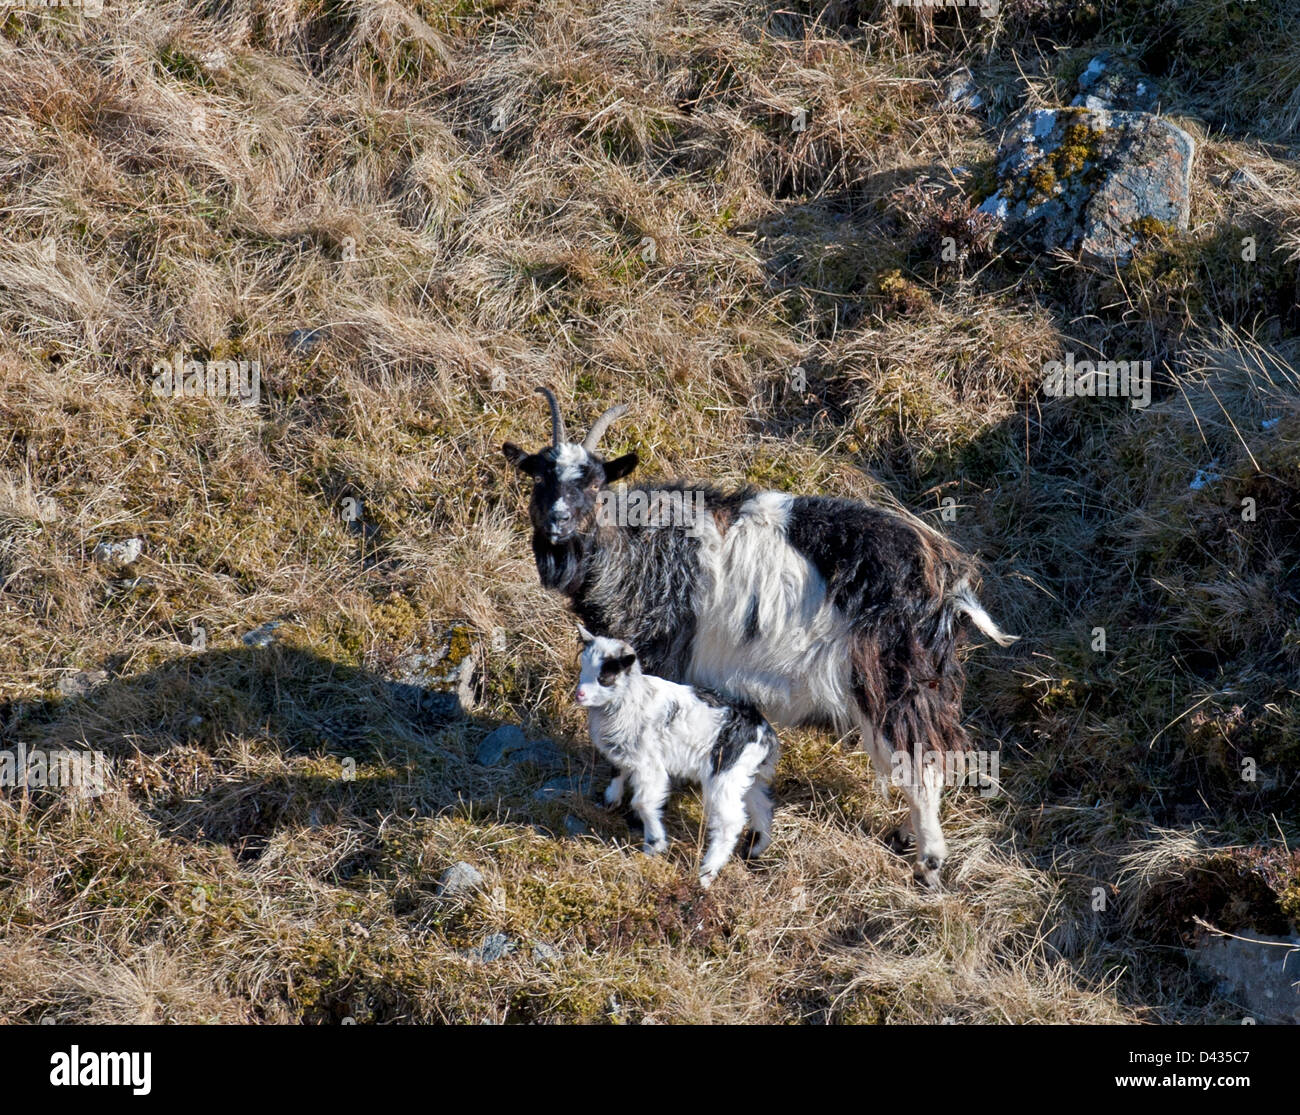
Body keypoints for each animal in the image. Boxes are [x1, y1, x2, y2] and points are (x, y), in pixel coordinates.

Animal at [574, 621, 774, 883]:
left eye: (604, 677)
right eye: (582, 666)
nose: (579, 694)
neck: (631, 699)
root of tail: (764, 734)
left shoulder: (650, 765)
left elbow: (644, 802)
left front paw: (654, 845)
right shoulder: (625, 753)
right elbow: (617, 772)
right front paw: (609, 801)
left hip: (723, 776)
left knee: (730, 822)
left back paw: (706, 874)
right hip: (745, 776)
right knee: (762, 807)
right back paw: (754, 849)